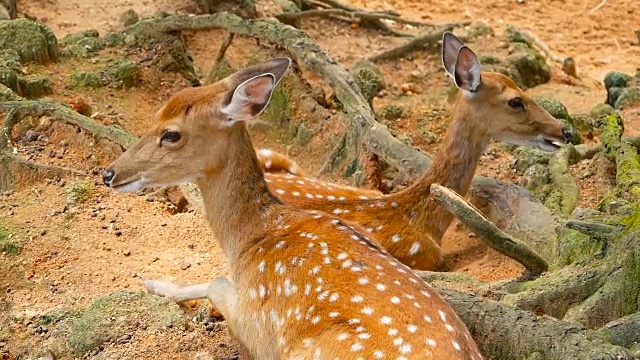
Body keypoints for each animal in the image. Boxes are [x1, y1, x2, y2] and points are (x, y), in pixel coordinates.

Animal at [102, 57, 482, 360]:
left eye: (171, 134)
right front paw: (154, 281)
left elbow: (215, 280)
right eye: (155, 115)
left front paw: (156, 283)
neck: (250, 238)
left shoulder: (256, 321)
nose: (109, 173)